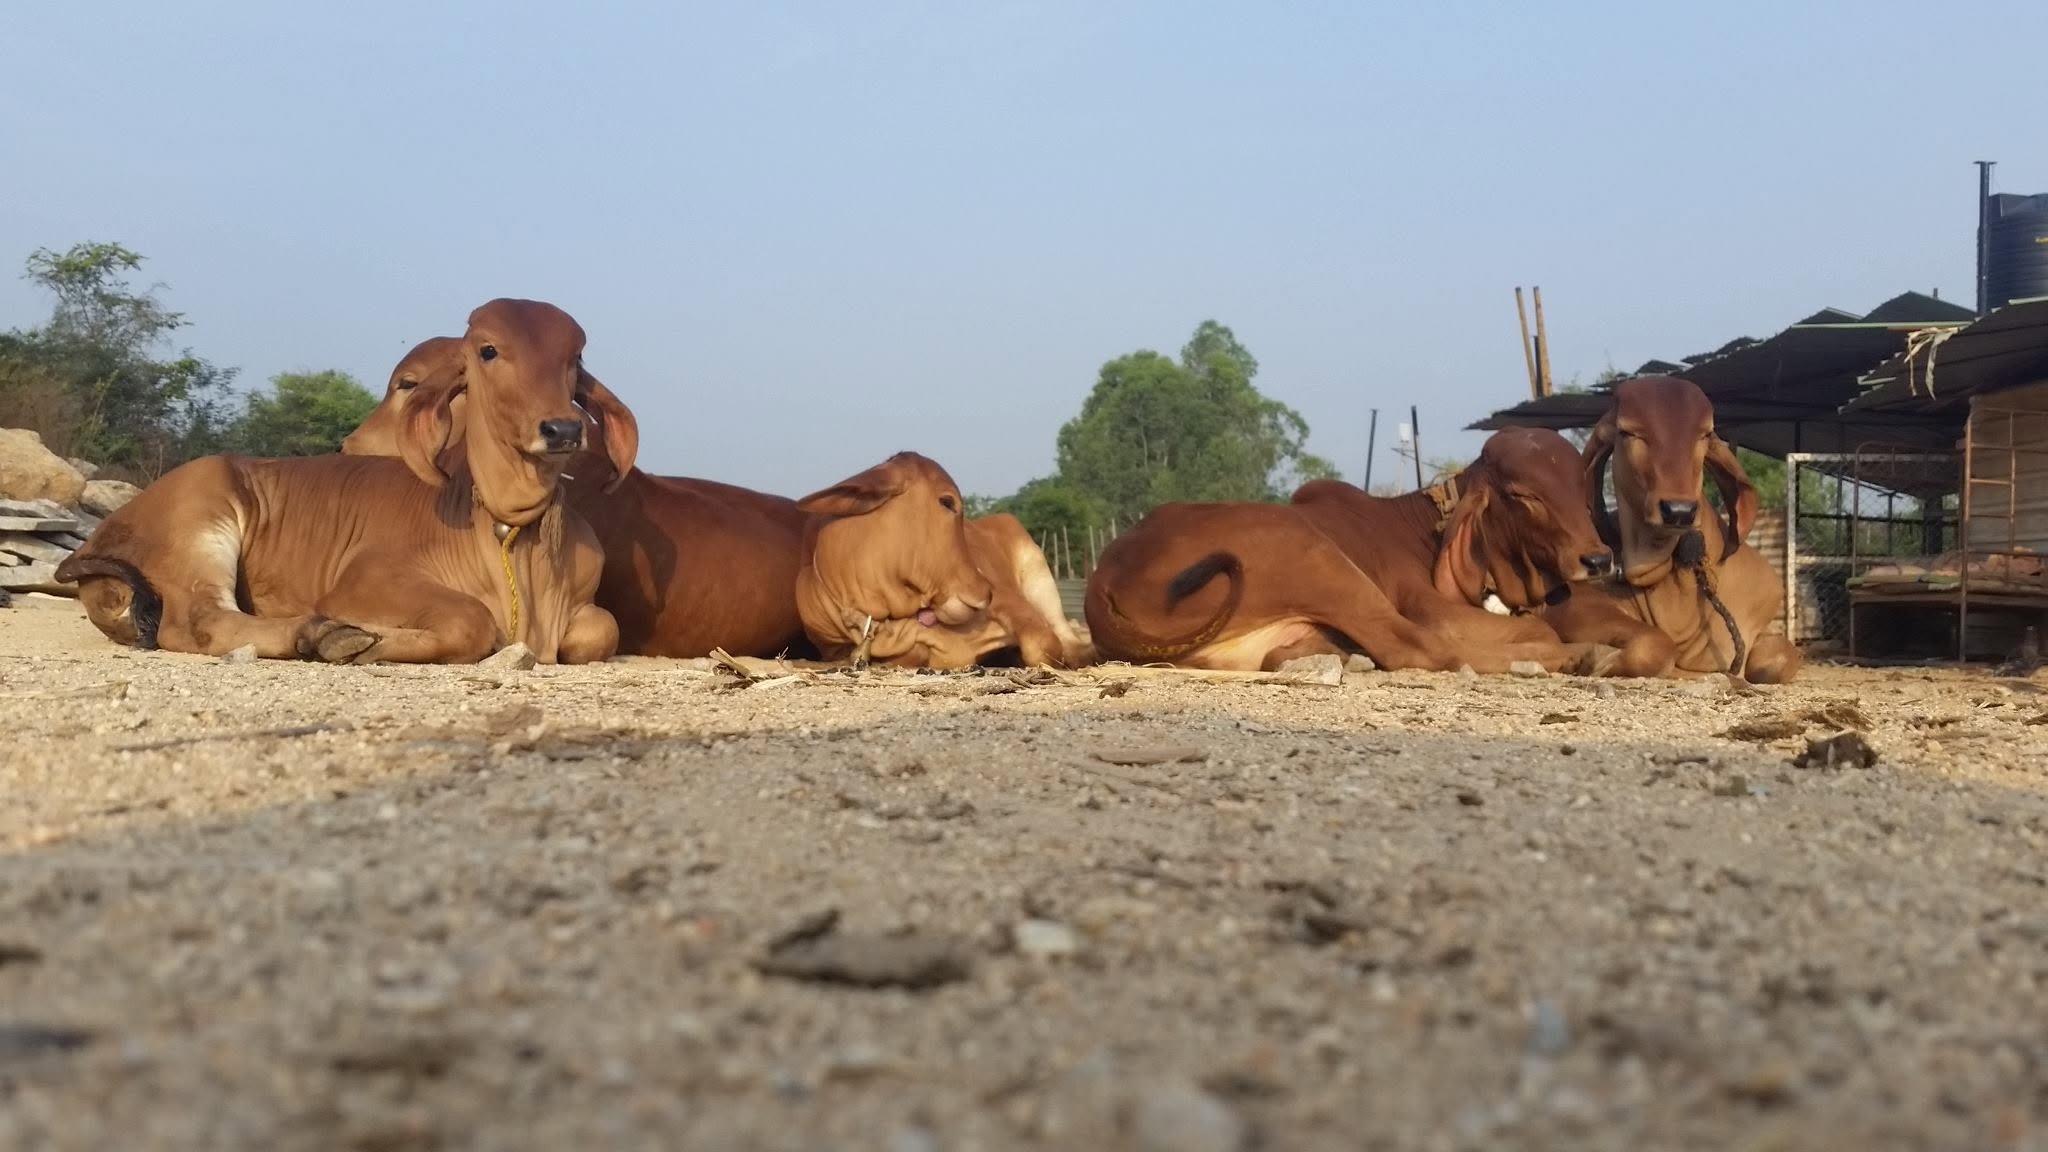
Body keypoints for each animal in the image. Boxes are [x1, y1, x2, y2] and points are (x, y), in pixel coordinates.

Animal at [56, 299, 633, 664]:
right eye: (488, 350)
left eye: (575, 357)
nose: (563, 429)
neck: (510, 528)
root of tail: (101, 535)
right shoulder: (364, 581)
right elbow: (471, 622)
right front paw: (366, 640)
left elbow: (603, 629)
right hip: (203, 523)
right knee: (200, 621)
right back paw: (320, 632)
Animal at [794, 452, 1090, 669]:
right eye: (947, 502)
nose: (986, 593)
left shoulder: (1012, 602)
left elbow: (1042, 646)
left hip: (1038, 572)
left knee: (1067, 636)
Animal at [1084, 428, 1619, 674]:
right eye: (1523, 495)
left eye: (1580, 487)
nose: (1597, 558)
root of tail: (1102, 584)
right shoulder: (1428, 606)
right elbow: (1530, 627)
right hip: (1312, 555)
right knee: (1417, 649)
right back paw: (1577, 654)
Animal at [1542, 375, 1801, 682]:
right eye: (1628, 432)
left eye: (1704, 435)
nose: (1679, 510)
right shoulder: (1569, 603)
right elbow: (1655, 645)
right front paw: (1594, 660)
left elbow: (1779, 657)